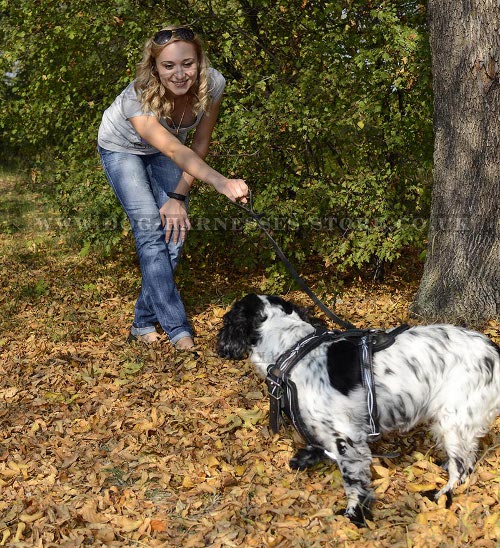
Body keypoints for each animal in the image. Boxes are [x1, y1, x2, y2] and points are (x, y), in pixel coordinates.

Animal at [217, 294, 500, 524]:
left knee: (462, 469)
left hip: (454, 420)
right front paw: (306, 458)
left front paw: (354, 515)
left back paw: (440, 494)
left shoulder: (347, 437)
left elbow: (354, 481)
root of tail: (494, 351)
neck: (293, 348)